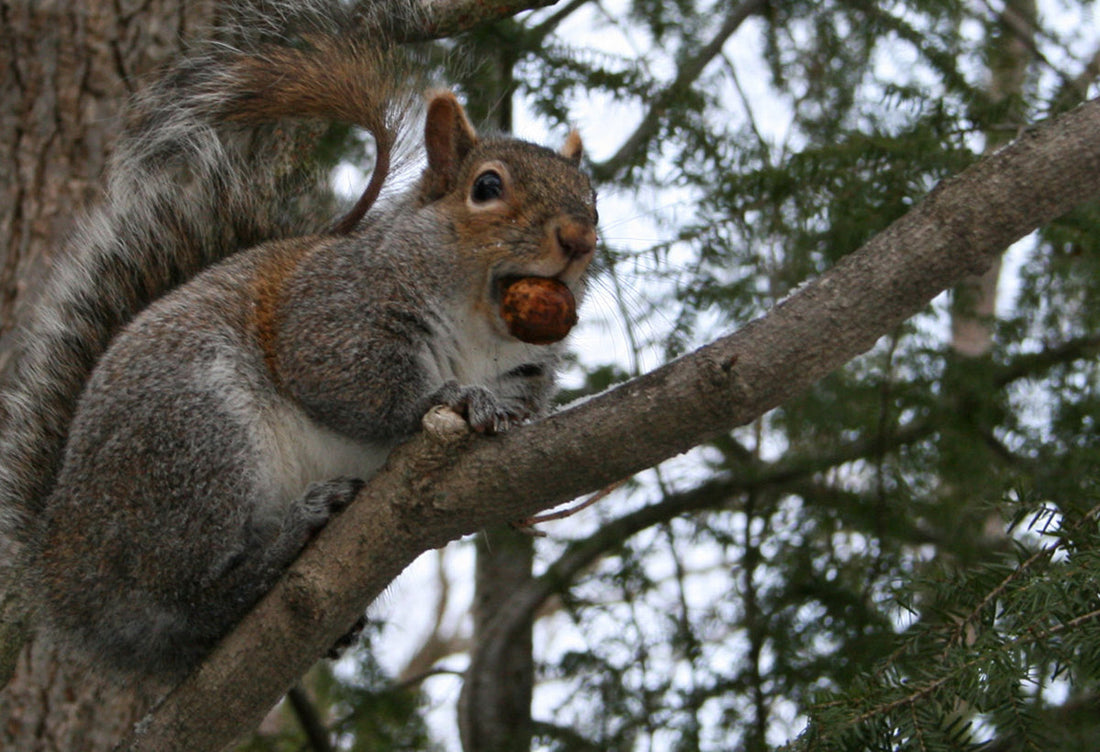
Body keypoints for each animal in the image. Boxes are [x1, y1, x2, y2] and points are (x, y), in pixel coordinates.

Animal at [0, 1, 597, 679]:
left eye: (593, 199)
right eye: (487, 187)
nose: (580, 239)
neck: (481, 328)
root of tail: (60, 572)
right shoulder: (330, 310)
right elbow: (351, 382)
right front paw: (452, 398)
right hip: (193, 442)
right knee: (191, 596)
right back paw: (290, 537)